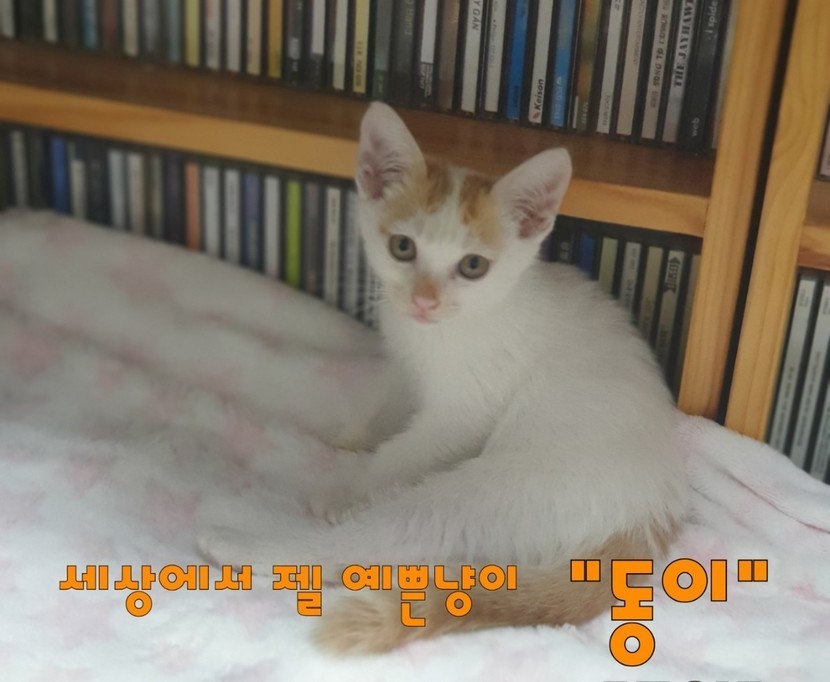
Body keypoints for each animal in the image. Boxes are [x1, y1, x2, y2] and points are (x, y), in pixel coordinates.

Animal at [199, 102, 688, 654]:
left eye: (473, 265)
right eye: (402, 247)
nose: (423, 300)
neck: (444, 330)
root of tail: (648, 524)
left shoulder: (467, 411)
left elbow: (404, 452)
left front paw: (351, 489)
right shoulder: (406, 360)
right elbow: (387, 399)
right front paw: (350, 436)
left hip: (500, 490)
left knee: (373, 545)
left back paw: (240, 542)